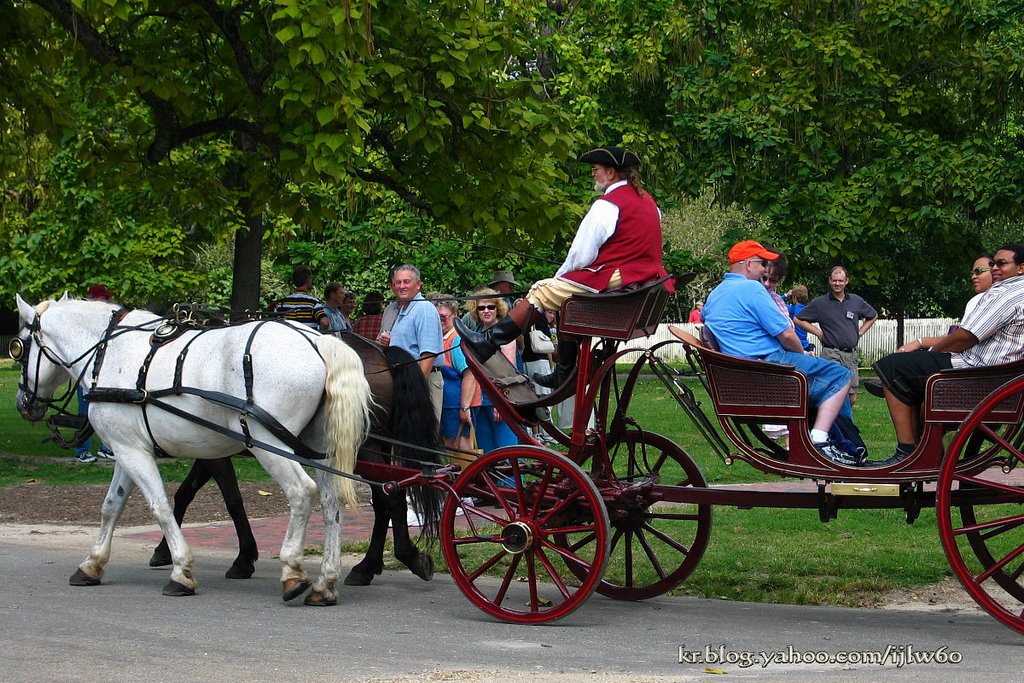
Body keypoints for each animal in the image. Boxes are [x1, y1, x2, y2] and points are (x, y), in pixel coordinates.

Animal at [12, 296, 372, 606]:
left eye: (20, 347)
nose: (23, 403)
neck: (111, 352)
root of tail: (318, 342)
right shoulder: (127, 448)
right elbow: (111, 506)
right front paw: (92, 564)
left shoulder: (134, 452)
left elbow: (160, 506)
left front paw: (180, 571)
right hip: (319, 448)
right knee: (331, 502)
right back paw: (325, 583)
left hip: (268, 444)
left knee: (301, 492)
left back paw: (293, 571)